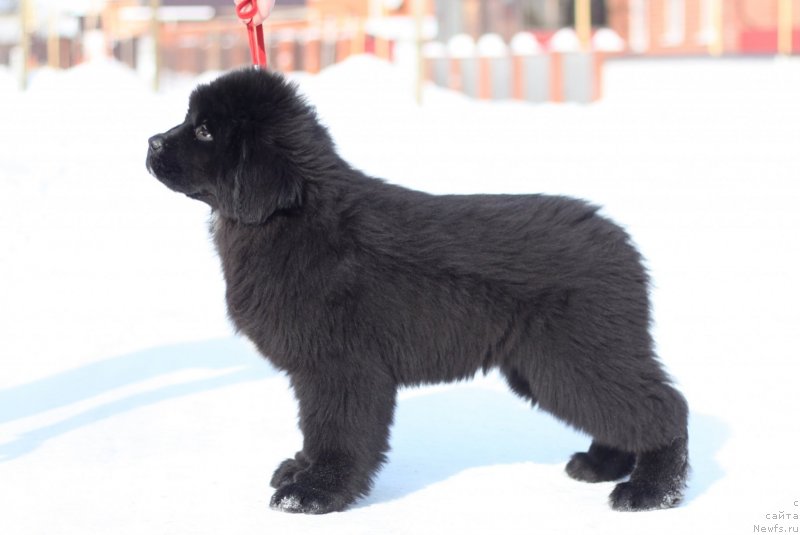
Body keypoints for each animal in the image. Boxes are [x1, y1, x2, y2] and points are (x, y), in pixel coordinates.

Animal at [147, 67, 692, 516]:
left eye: (204, 130)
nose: (151, 141)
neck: (293, 218)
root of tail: (621, 243)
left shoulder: (342, 365)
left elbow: (336, 431)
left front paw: (314, 494)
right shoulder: (315, 368)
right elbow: (313, 426)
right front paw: (300, 470)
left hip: (575, 358)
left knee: (664, 408)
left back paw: (649, 491)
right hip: (549, 366)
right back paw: (602, 465)